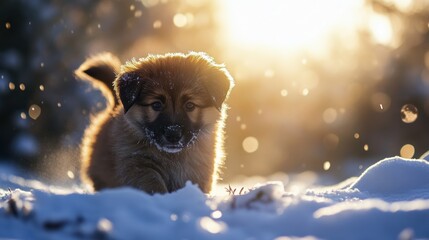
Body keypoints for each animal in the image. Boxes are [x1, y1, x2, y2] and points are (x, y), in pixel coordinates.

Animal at [74, 51, 234, 194]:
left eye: (190, 105)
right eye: (156, 105)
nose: (173, 134)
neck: (173, 157)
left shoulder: (198, 170)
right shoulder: (138, 163)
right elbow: (152, 183)